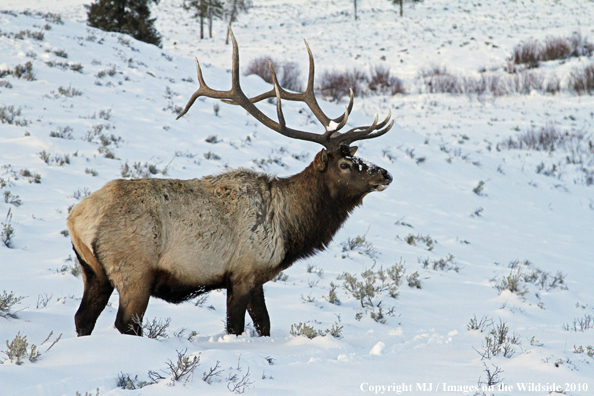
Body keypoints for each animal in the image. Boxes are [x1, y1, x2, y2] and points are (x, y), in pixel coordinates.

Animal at [68, 31, 394, 338]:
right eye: (345, 165)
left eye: (357, 157)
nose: (385, 174)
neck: (290, 229)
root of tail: (76, 219)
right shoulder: (243, 272)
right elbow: (236, 326)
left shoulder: (256, 278)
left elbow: (264, 324)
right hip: (134, 270)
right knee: (126, 324)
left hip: (93, 272)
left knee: (83, 318)